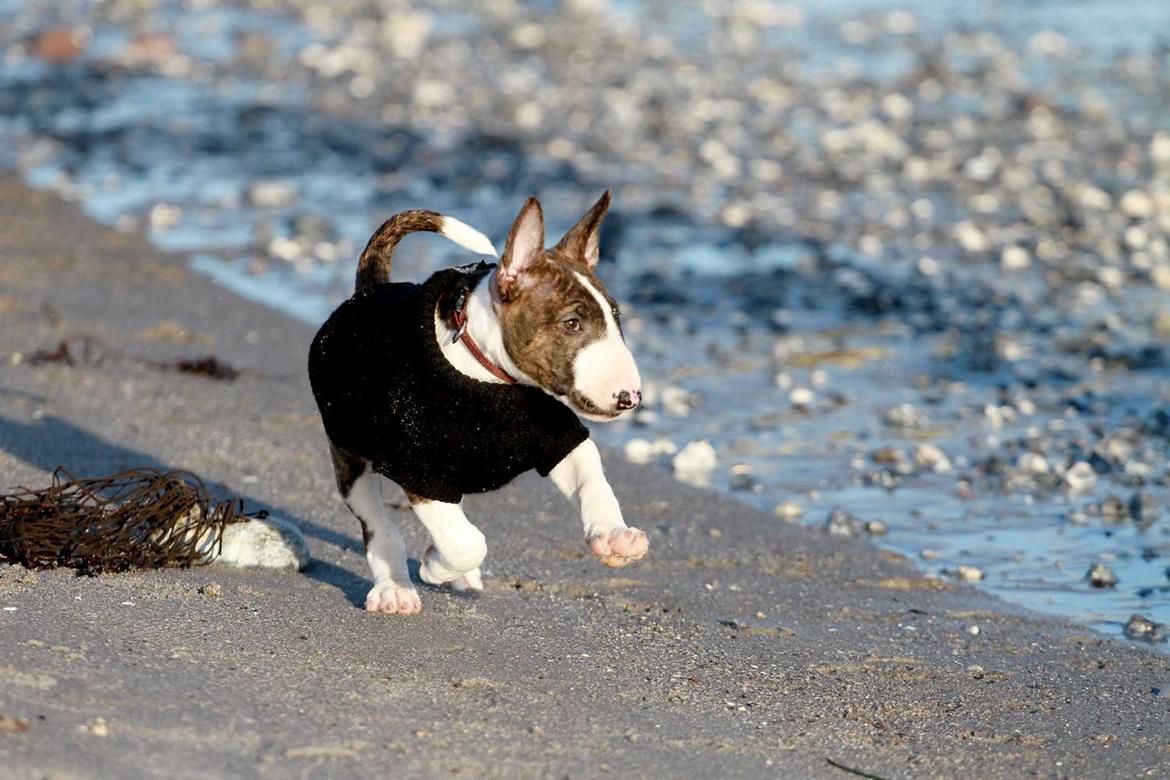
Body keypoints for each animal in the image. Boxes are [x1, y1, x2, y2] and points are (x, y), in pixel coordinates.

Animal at [306, 191, 645, 612]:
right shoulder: (418, 470)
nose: (630, 397)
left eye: (616, 317)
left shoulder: (559, 439)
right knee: (378, 525)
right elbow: (468, 542)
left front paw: (614, 536)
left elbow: (593, 484)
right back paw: (395, 589)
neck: (492, 379)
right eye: (571, 324)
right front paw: (435, 564)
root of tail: (369, 290)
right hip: (349, 450)